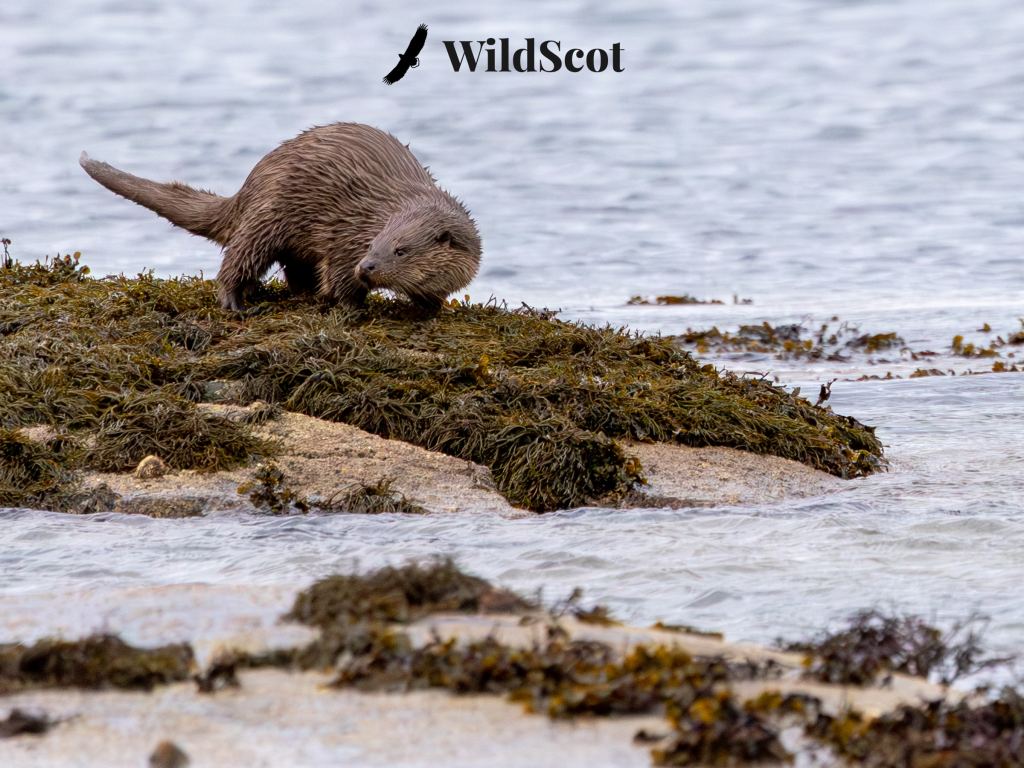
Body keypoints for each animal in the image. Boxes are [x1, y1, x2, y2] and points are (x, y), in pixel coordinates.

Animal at [79, 123, 482, 313]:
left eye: (400, 250)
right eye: (373, 245)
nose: (367, 266)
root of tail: (251, 182)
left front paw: (430, 306)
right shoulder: (346, 236)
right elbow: (340, 275)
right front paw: (351, 307)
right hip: (268, 215)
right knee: (239, 258)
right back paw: (235, 301)